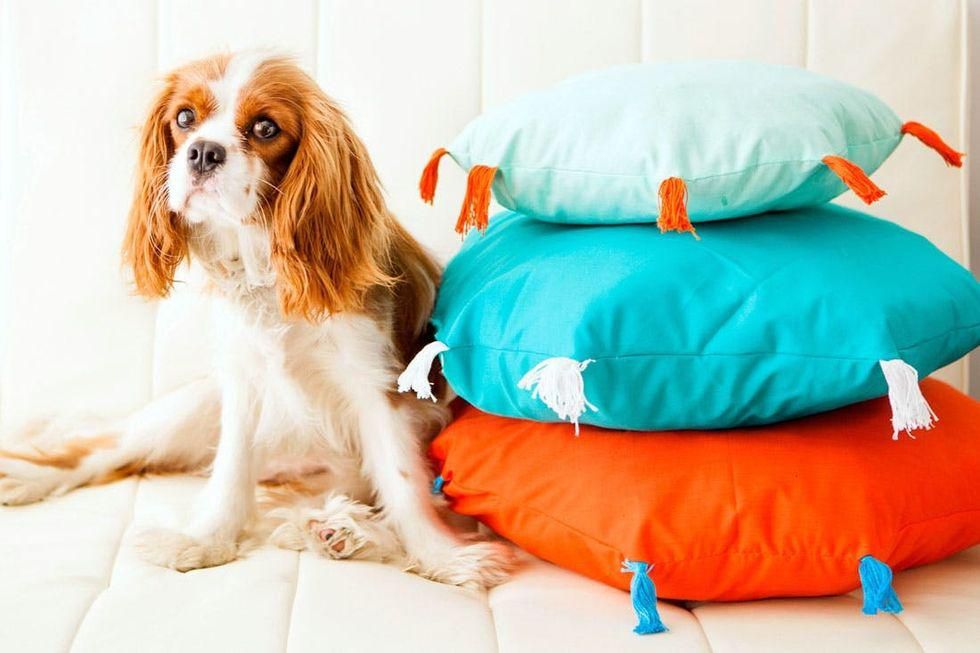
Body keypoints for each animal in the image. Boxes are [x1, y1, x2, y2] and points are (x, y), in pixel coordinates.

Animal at [0, 51, 516, 588]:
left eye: (266, 127)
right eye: (184, 118)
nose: (203, 152)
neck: (264, 265)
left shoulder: (377, 386)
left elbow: (402, 481)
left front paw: (443, 557)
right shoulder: (242, 383)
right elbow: (231, 467)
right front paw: (206, 540)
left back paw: (339, 528)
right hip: (189, 410)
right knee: (104, 447)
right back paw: (29, 475)